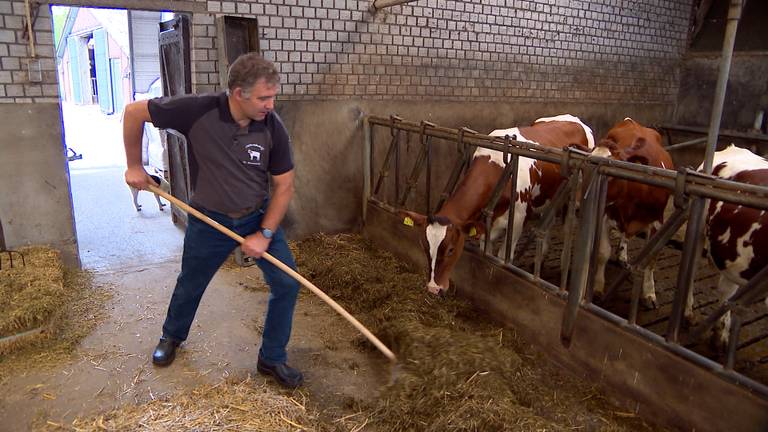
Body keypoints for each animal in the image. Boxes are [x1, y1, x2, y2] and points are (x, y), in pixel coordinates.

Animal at [400, 115, 592, 296]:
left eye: (451, 250)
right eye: (424, 246)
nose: (433, 288)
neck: (496, 166)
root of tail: (575, 119)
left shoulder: (517, 222)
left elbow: (502, 258)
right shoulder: (486, 224)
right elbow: (487, 249)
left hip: (573, 197)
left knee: (568, 228)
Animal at [588, 117, 672, 308]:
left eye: (611, 174)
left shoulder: (657, 222)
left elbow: (650, 260)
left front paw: (649, 294)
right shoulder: (605, 215)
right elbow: (603, 253)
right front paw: (597, 288)